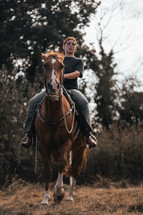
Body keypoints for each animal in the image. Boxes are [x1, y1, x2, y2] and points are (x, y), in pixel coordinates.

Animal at [34, 50, 86, 205]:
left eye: (62, 66)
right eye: (44, 65)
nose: (53, 86)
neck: (53, 115)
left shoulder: (66, 142)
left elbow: (62, 164)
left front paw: (58, 193)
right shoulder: (43, 145)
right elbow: (47, 170)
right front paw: (45, 199)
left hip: (80, 148)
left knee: (74, 172)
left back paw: (69, 196)